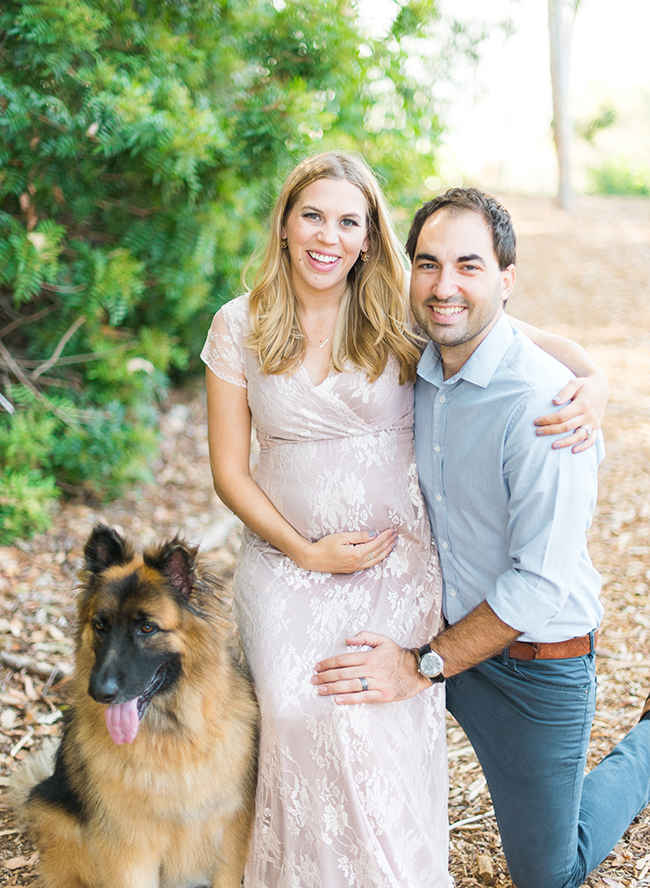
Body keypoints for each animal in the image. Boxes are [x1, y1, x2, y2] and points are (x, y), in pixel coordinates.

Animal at [11, 524, 259, 888]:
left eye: (147, 627)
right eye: (100, 625)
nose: (99, 692)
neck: (172, 736)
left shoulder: (230, 834)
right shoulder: (130, 848)